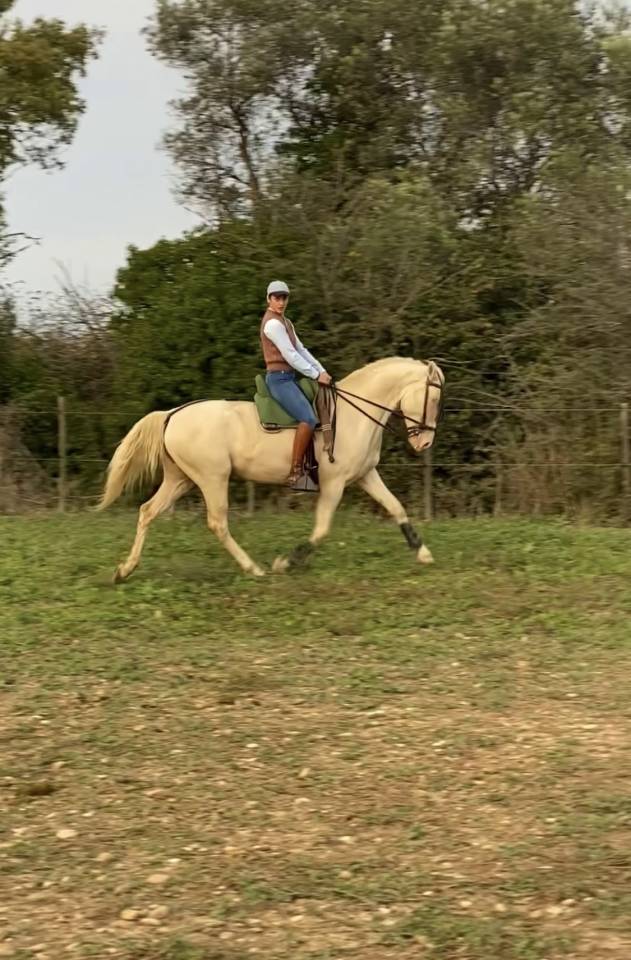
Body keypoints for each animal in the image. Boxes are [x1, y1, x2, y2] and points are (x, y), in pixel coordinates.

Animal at [98, 356, 444, 580]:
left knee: (147, 511)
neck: (353, 415)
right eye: (434, 399)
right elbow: (321, 530)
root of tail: (172, 414)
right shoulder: (334, 484)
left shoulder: (365, 476)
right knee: (217, 523)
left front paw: (423, 552)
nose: (426, 442)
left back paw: (124, 570)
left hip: (180, 479)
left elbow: (396, 508)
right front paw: (286, 563)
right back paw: (254, 568)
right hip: (212, 479)